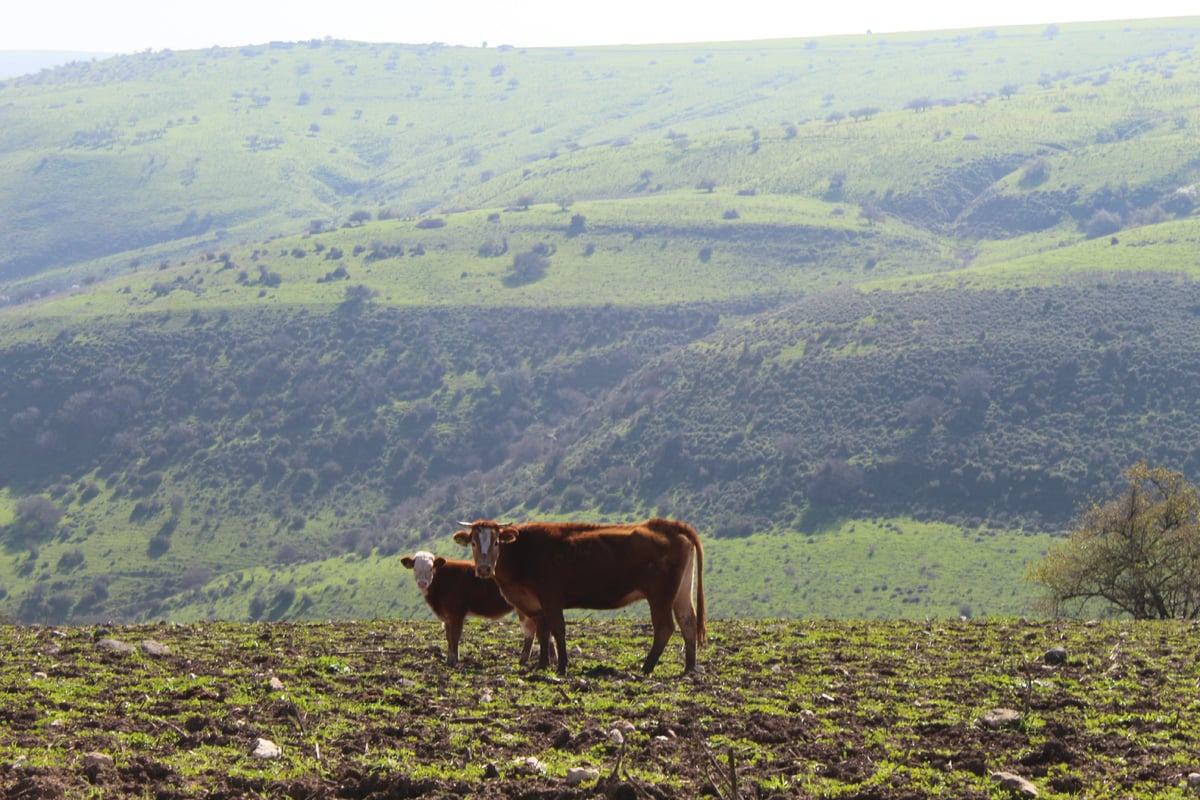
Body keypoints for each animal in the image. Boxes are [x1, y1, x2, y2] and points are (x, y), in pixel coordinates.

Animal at [403, 551, 535, 671]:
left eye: (431, 568)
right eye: (415, 568)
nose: (422, 583)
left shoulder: (456, 613)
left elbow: (455, 636)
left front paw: (454, 661)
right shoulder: (447, 617)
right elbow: (449, 637)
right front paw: (449, 659)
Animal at [453, 520, 705, 676]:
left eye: (496, 542)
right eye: (473, 542)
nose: (483, 569)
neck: (523, 554)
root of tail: (669, 525)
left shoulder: (551, 598)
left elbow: (557, 630)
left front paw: (561, 667)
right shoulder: (537, 604)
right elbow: (544, 633)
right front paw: (542, 665)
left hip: (659, 595)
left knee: (665, 627)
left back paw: (646, 668)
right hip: (681, 592)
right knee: (687, 621)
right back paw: (689, 668)